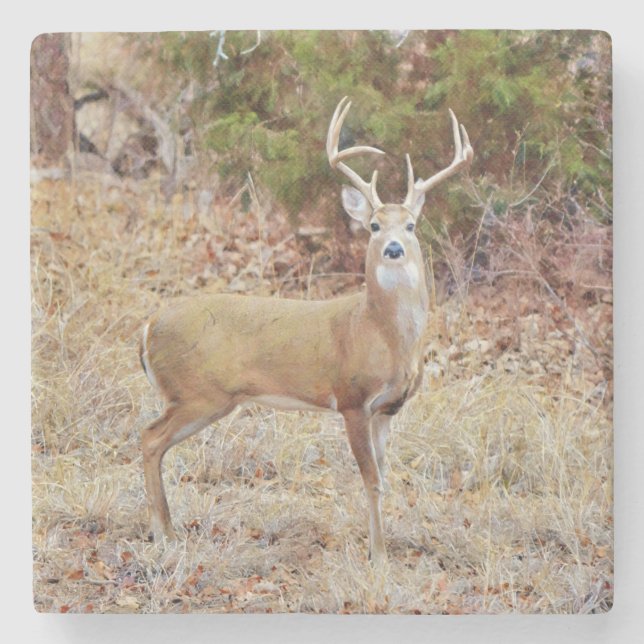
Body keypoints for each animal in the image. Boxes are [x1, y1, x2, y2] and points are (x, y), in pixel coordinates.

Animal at [139, 97, 473, 564]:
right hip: (196, 393)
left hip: (205, 399)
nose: (393, 249)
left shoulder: (388, 409)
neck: (381, 334)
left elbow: (385, 477)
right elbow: (371, 480)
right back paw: (162, 533)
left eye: (410, 225)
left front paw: (383, 544)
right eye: (374, 225)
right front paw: (378, 555)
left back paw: (166, 530)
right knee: (149, 438)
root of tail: (149, 326)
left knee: (153, 441)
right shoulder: (351, 399)